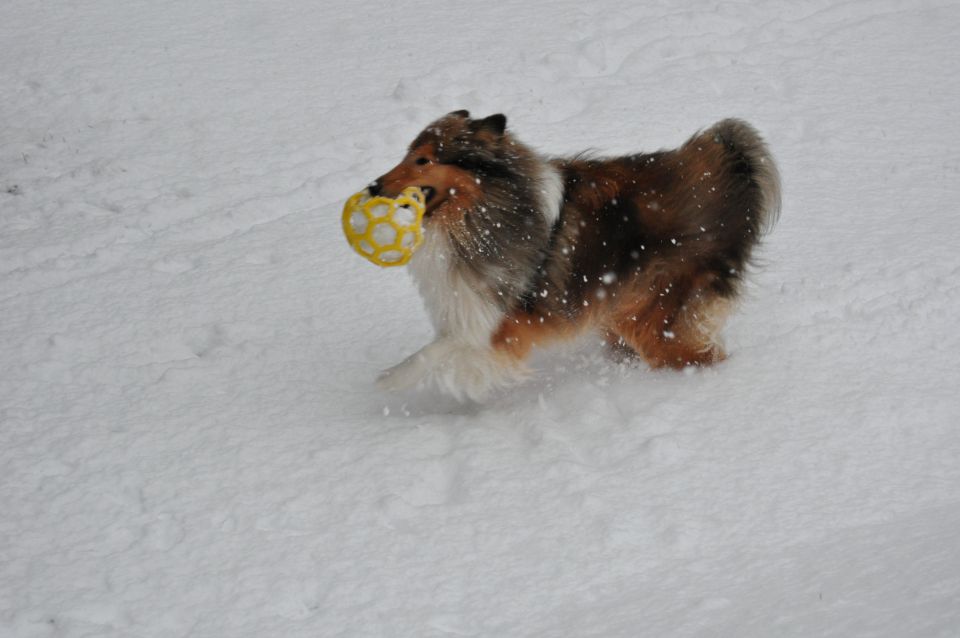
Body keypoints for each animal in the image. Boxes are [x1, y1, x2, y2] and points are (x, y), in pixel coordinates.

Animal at [368, 109, 780, 400]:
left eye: (423, 160)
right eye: (408, 154)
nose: (372, 186)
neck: (483, 208)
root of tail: (727, 172)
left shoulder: (496, 323)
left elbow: (436, 351)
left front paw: (386, 381)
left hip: (654, 310)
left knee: (697, 356)